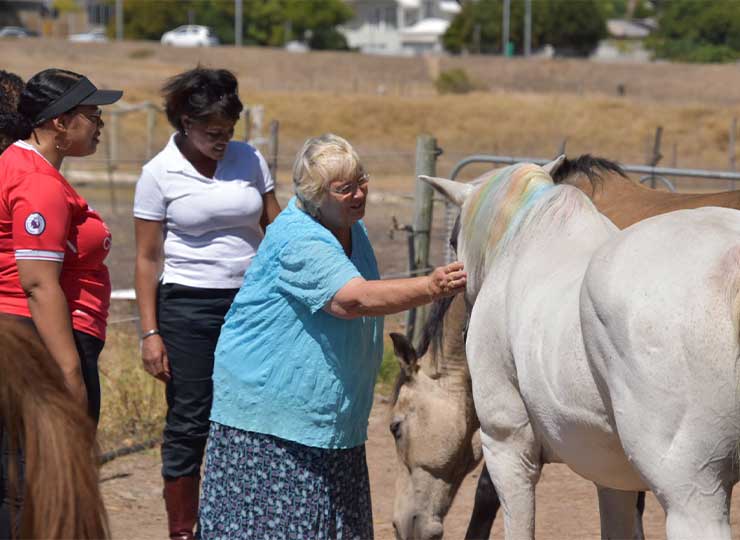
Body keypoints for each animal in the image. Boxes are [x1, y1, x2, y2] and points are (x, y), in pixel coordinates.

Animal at [390, 154, 740, 539]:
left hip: (692, 497)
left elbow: (493, 502)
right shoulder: (612, 474)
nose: (405, 524)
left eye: (396, 427)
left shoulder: (507, 445)